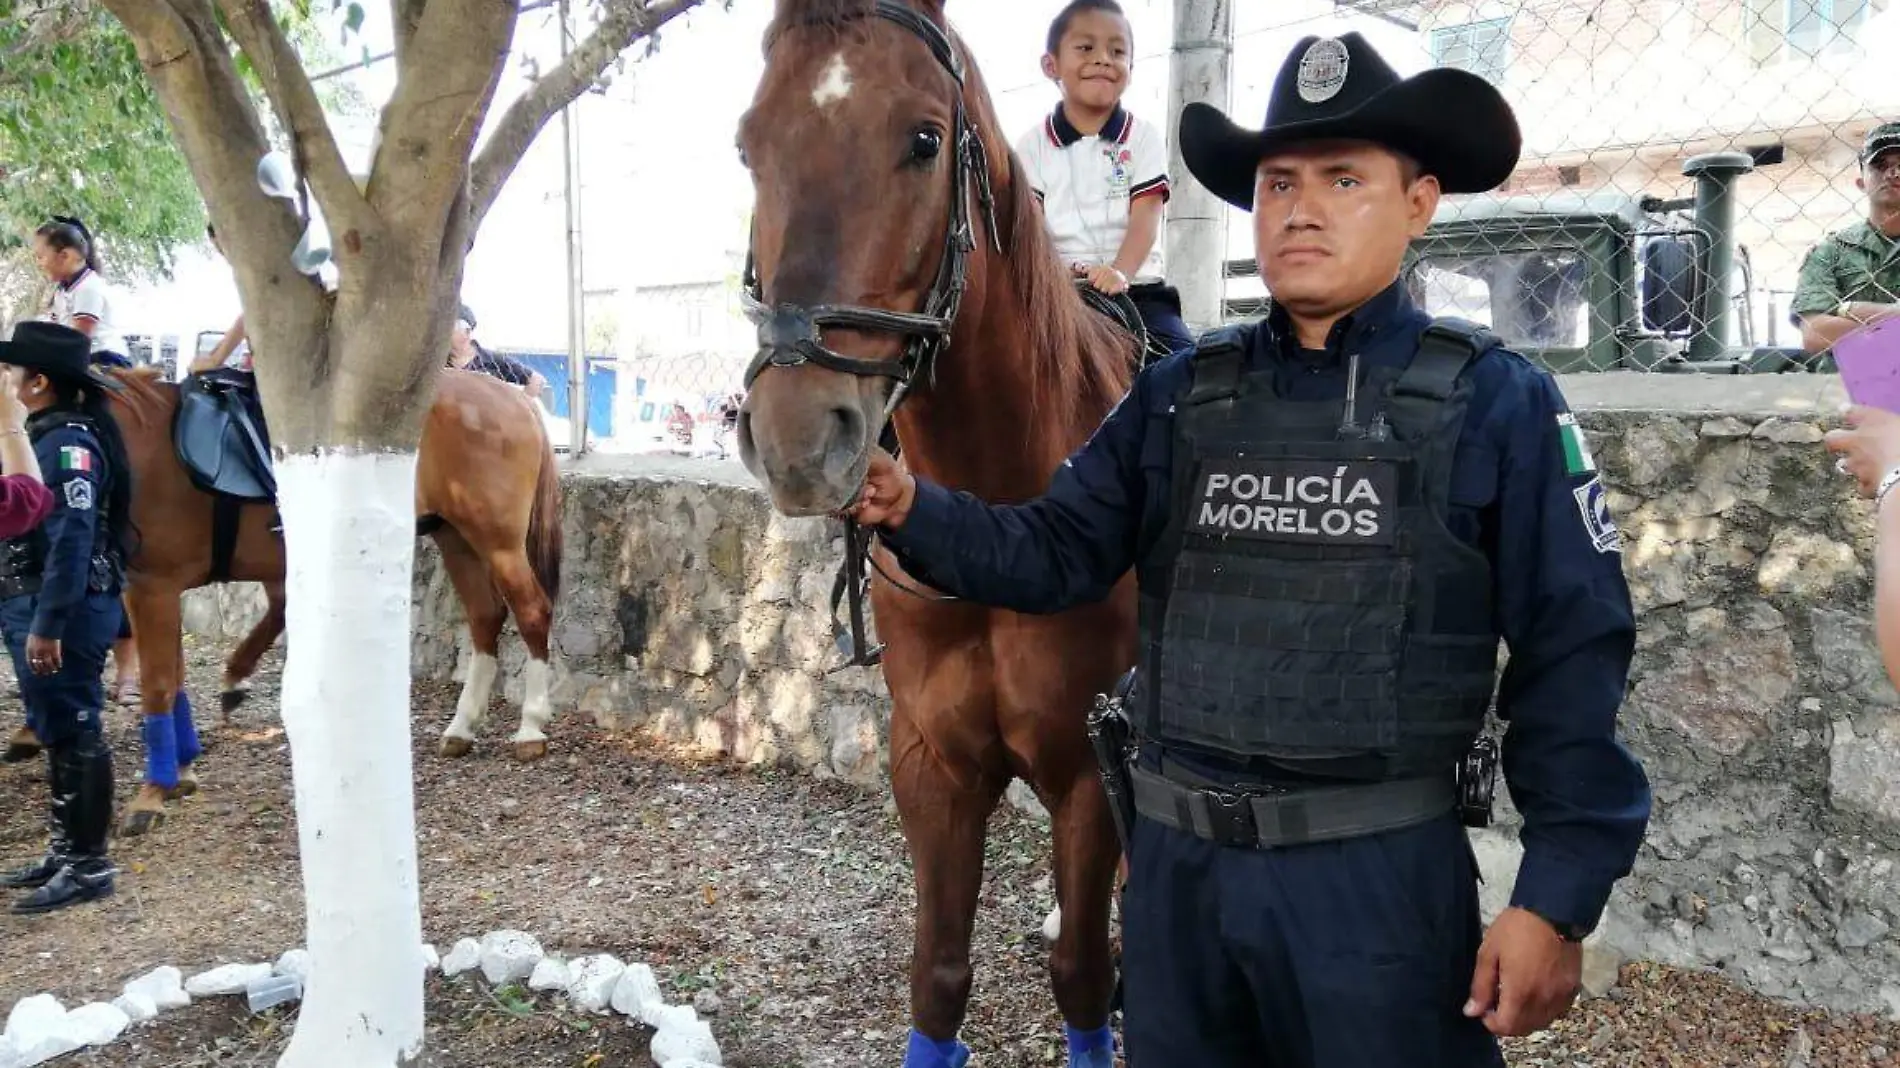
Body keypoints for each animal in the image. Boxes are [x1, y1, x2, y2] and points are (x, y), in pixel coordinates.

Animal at [104, 364, 562, 832]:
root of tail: (510, 394)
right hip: (453, 534)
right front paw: (180, 772)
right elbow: (176, 676)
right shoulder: (158, 590)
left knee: (531, 611)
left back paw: (530, 728)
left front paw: (150, 796)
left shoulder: (154, 587)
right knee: (485, 614)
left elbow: (160, 683)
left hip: (497, 539)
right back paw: (462, 726)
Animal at [733, 0, 1132, 1056]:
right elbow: (939, 979)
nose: (798, 439)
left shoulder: (1086, 764)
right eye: (748, 145)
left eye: (924, 139)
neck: (1010, 519)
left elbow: (1083, 980)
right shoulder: (933, 765)